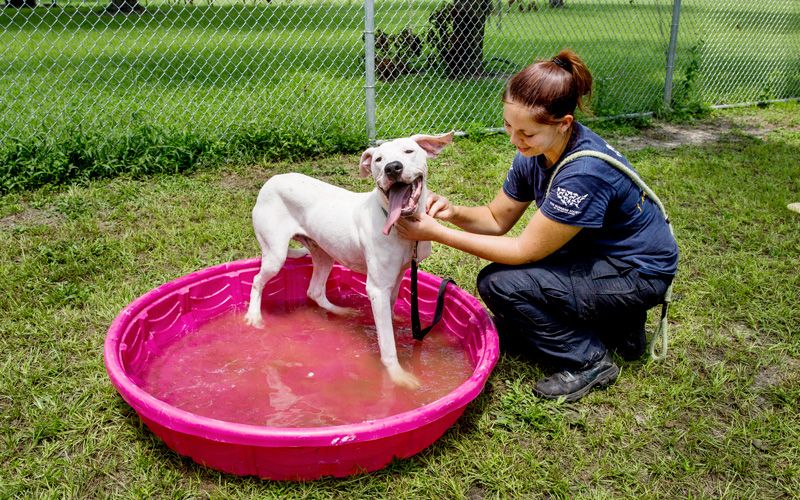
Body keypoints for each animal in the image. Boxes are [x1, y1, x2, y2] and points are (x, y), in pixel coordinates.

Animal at [244, 131, 454, 388]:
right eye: (379, 159)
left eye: (409, 151)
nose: (392, 168)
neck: (400, 224)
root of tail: (271, 181)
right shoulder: (377, 288)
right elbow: (387, 346)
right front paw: (397, 376)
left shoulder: (396, 277)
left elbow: (389, 315)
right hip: (275, 255)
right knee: (257, 281)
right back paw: (254, 316)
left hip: (323, 253)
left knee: (314, 291)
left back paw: (342, 312)